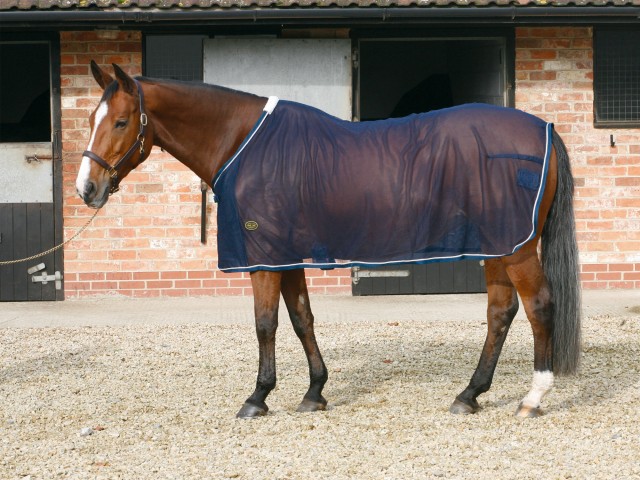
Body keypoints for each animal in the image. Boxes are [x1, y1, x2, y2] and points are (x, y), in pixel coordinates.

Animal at [75, 62, 580, 416]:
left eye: (121, 122)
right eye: (91, 119)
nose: (87, 189)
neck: (244, 143)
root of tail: (545, 130)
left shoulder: (263, 257)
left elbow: (265, 324)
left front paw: (257, 398)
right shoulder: (285, 257)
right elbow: (302, 319)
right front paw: (314, 391)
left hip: (517, 248)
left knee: (538, 307)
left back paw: (533, 397)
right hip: (498, 245)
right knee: (500, 313)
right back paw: (469, 394)